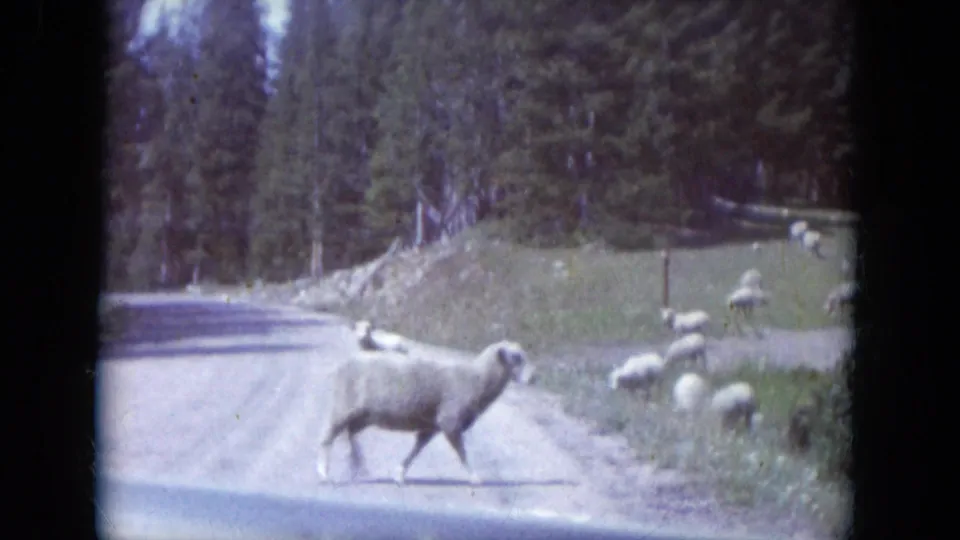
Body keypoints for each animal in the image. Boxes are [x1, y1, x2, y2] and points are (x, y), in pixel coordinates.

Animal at [316, 340, 537, 486]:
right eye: (516, 358)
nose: (533, 378)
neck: (476, 379)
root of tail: (342, 365)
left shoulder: (432, 426)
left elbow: (417, 449)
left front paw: (400, 473)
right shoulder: (450, 421)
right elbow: (461, 452)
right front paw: (474, 477)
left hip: (364, 415)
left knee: (351, 433)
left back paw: (358, 466)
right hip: (343, 406)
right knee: (327, 437)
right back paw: (324, 472)